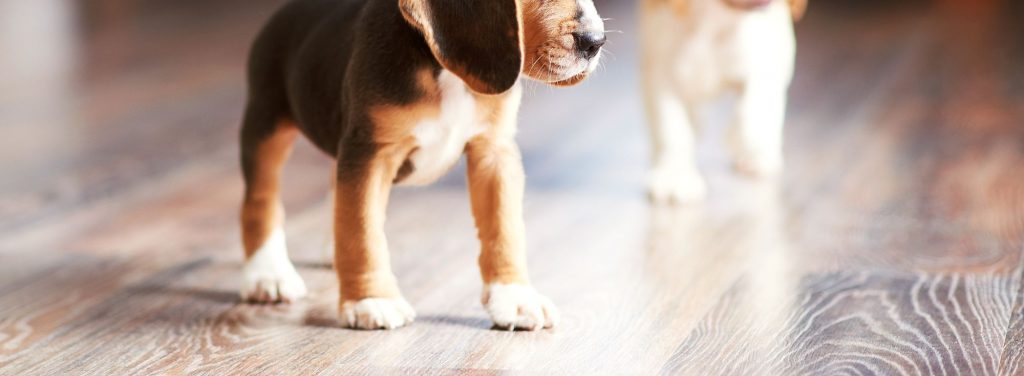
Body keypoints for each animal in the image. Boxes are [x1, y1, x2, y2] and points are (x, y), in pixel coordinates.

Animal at [237, 0, 606, 329]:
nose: (595, 41)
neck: (444, 72)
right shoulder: (370, 153)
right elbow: (362, 228)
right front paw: (372, 300)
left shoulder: (494, 152)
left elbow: (505, 228)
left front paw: (514, 296)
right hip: (267, 124)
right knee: (261, 200)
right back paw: (268, 273)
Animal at [643, 0, 802, 204]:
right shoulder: (661, 70)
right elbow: (671, 128)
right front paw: (675, 175)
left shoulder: (770, 50)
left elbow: (755, 105)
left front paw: (744, 141)